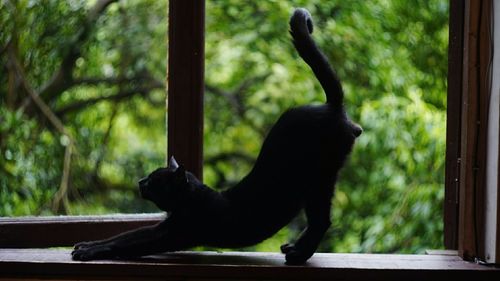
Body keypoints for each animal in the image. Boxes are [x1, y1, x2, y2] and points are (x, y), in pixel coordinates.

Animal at [72, 7, 362, 264]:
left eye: (155, 180)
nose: (141, 181)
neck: (193, 200)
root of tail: (332, 106)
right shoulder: (165, 227)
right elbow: (121, 236)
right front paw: (87, 244)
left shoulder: (172, 233)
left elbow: (126, 242)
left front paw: (89, 251)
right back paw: (295, 249)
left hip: (320, 178)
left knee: (322, 220)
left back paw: (298, 255)